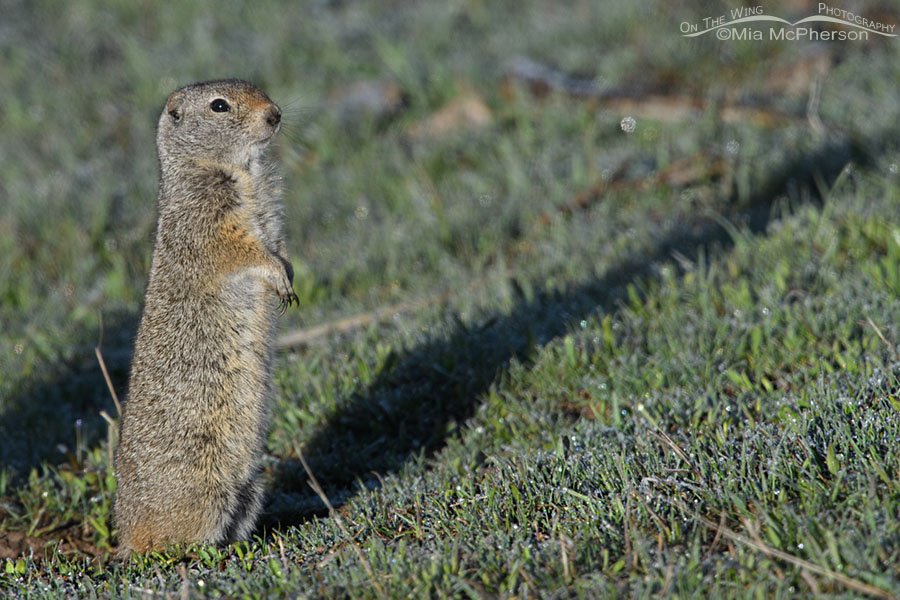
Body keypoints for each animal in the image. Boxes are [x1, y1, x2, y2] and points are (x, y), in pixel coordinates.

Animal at [114, 79, 297, 557]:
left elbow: (279, 242)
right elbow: (243, 248)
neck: (243, 170)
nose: (275, 114)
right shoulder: (208, 217)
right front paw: (278, 276)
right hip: (203, 491)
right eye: (219, 106)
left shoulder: (271, 209)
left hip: (250, 490)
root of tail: (124, 537)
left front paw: (289, 277)